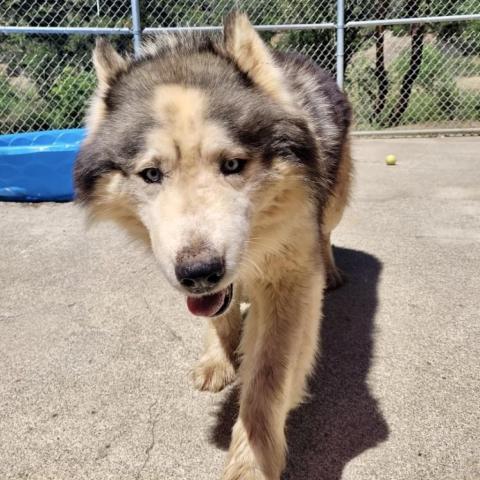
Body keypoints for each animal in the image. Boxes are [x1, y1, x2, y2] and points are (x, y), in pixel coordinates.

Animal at [74, 11, 352, 480]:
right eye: (151, 174)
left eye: (233, 165)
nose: (200, 272)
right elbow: (220, 317)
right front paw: (219, 358)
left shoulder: (292, 279)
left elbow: (267, 380)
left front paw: (251, 462)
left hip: (334, 203)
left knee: (328, 233)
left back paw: (332, 271)